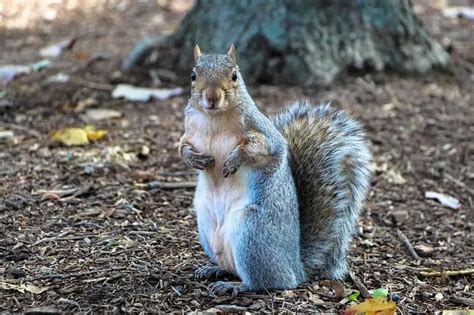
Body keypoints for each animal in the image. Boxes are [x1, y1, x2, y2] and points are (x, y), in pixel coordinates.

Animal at [176, 44, 372, 296]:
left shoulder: (264, 133)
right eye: (193, 75)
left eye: (234, 75)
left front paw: (234, 160)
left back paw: (235, 285)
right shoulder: (189, 132)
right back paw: (215, 270)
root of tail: (296, 267)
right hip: (206, 228)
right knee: (232, 267)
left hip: (252, 235)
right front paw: (194, 159)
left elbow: (264, 148)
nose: (211, 97)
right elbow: (182, 147)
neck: (214, 119)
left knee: (268, 281)